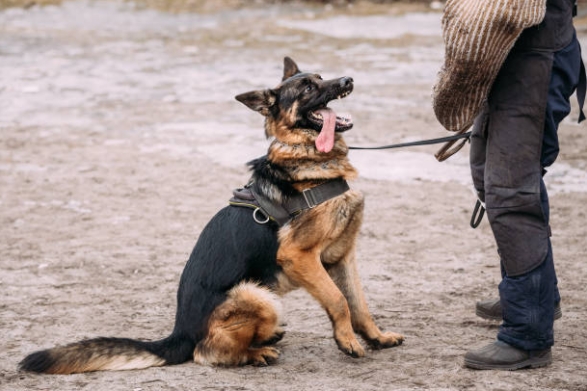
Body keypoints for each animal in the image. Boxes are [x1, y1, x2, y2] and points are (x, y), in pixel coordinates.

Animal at [19, 56, 404, 376]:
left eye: (322, 78)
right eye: (308, 88)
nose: (348, 79)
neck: (309, 158)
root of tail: (179, 333)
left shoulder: (341, 256)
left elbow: (359, 303)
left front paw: (376, 337)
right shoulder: (299, 256)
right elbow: (339, 301)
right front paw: (348, 341)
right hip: (260, 297)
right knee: (207, 352)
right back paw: (256, 353)